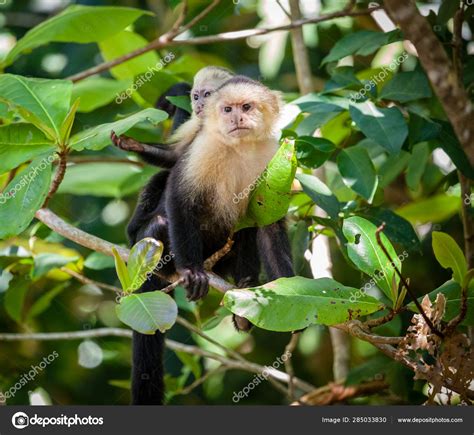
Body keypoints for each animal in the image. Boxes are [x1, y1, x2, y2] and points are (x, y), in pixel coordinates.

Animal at [128, 76, 294, 408]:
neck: (240, 149)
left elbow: (268, 223)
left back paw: (244, 289)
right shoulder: (203, 148)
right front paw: (192, 271)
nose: (236, 119)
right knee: (160, 222)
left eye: (246, 107)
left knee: (245, 230)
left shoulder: (272, 157)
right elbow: (180, 200)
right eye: (227, 109)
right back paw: (170, 269)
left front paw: (292, 288)